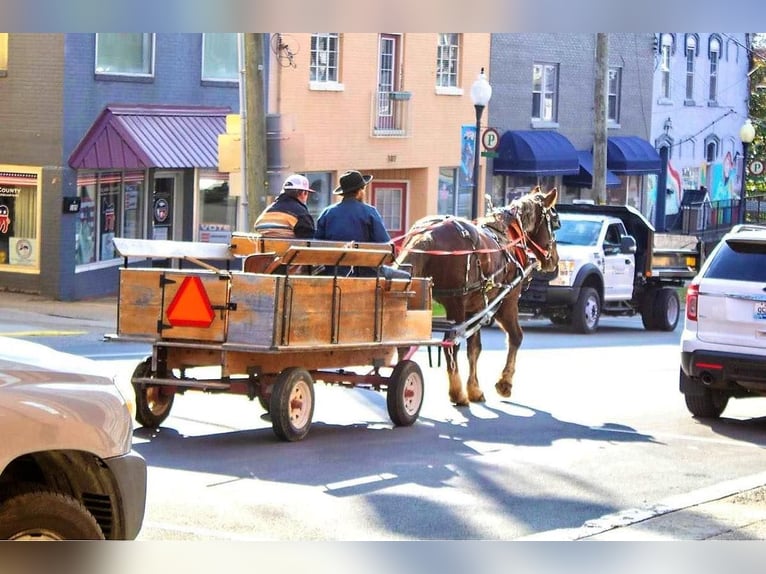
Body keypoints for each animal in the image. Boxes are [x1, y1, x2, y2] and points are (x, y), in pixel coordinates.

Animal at [396, 187, 560, 408]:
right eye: (555, 222)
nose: (555, 260)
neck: (510, 237)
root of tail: (426, 235)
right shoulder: (506, 300)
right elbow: (515, 336)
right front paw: (504, 383)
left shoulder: (475, 307)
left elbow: (475, 348)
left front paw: (474, 388)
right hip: (455, 303)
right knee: (450, 345)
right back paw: (456, 392)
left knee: (405, 341)